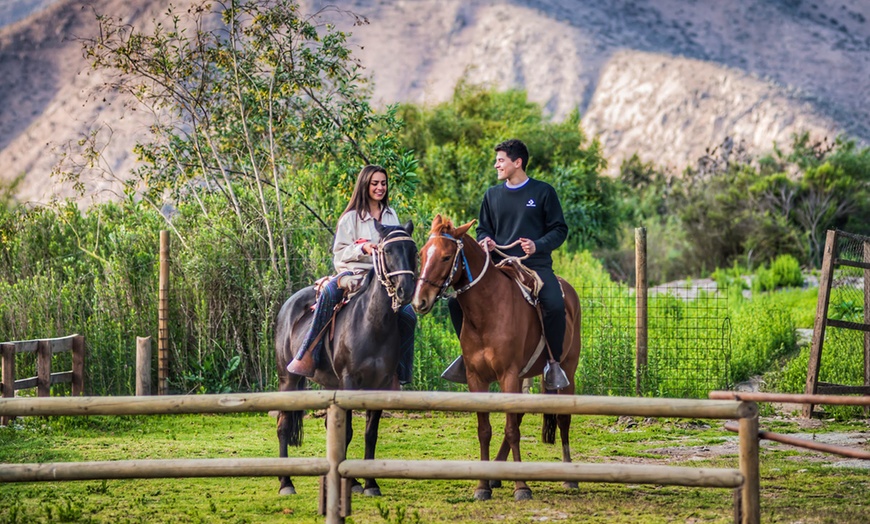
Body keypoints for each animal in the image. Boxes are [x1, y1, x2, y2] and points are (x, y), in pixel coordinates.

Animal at [276, 220, 418, 496]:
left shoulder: (380, 386)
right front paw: (353, 483)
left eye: (413, 250)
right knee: (283, 425)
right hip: (288, 380)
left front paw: (370, 484)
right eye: (387, 251)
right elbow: (349, 431)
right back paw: (286, 483)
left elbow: (369, 434)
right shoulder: (349, 382)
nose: (405, 290)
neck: (373, 324)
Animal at [412, 215, 584, 502]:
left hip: (567, 370)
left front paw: (522, 487)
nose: (419, 302)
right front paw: (482, 485)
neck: (487, 311)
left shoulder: (508, 375)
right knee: (520, 414)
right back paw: (496, 473)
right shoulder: (476, 378)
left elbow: (512, 430)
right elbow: (485, 430)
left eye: (446, 257)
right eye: (422, 254)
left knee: (562, 418)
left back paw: (569, 476)